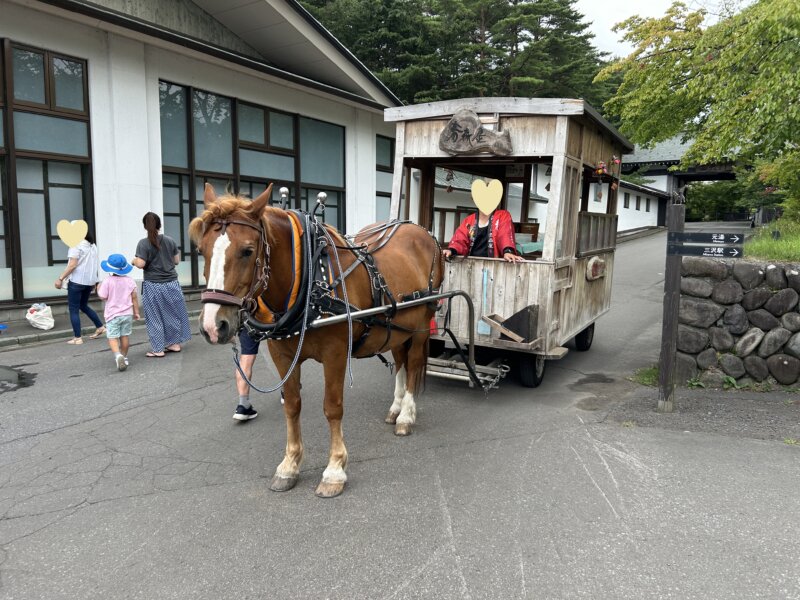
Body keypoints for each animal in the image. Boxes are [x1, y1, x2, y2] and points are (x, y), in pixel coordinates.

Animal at [191, 184, 446, 496]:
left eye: (247, 251)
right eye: (201, 249)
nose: (212, 326)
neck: (308, 278)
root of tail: (420, 230)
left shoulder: (335, 353)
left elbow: (332, 407)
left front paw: (335, 469)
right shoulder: (282, 355)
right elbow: (292, 405)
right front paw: (289, 465)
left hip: (421, 322)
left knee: (414, 361)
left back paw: (407, 415)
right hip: (398, 325)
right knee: (399, 360)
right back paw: (396, 408)